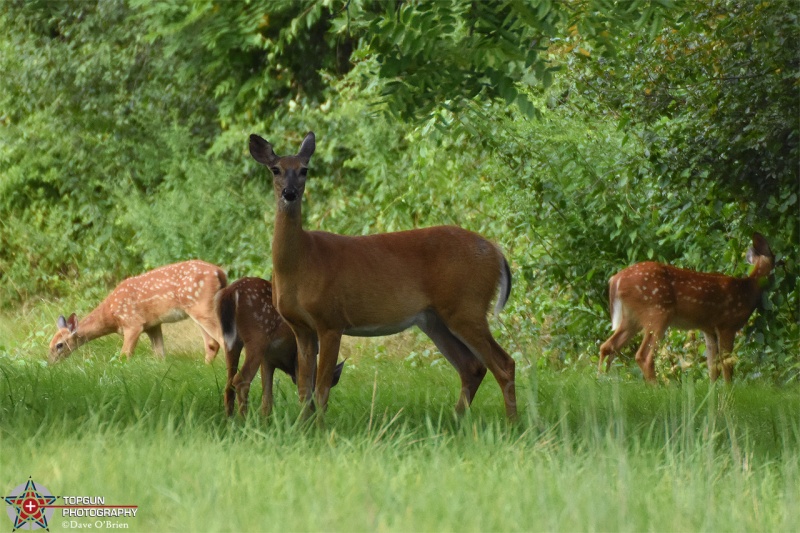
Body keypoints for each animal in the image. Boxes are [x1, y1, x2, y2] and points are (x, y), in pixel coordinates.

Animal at [48, 260, 227, 364]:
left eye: (59, 345)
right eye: (49, 344)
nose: (50, 363)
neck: (110, 316)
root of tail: (220, 273)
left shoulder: (133, 323)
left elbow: (124, 355)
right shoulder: (152, 325)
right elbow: (159, 355)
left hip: (201, 306)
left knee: (221, 340)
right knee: (212, 344)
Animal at [216, 276, 344, 418]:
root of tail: (231, 291)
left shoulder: (267, 360)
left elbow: (267, 400)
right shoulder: (295, 357)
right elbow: (304, 389)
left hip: (231, 342)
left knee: (229, 383)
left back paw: (229, 419)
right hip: (257, 337)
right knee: (240, 380)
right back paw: (244, 419)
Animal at [247, 131, 516, 418]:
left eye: (304, 170)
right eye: (275, 169)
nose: (289, 193)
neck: (301, 262)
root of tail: (496, 253)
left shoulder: (331, 320)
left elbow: (321, 390)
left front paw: (319, 426)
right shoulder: (301, 327)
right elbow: (303, 391)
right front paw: (303, 425)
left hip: (467, 306)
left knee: (504, 364)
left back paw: (512, 423)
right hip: (434, 319)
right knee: (472, 367)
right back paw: (457, 419)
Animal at [600, 232, 776, 378]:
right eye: (776, 259)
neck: (748, 290)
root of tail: (615, 280)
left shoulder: (708, 328)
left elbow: (713, 367)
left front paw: (712, 395)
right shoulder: (727, 325)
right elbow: (727, 365)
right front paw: (727, 393)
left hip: (632, 318)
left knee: (607, 346)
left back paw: (601, 381)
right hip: (657, 312)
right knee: (643, 356)